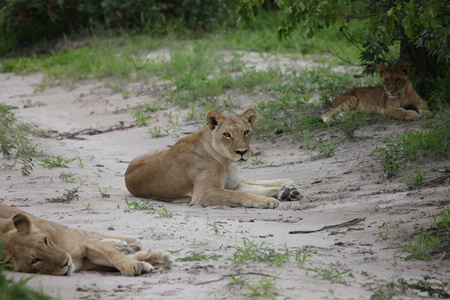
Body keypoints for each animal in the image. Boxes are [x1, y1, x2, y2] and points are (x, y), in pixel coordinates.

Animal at [0, 204, 172, 276]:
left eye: (46, 240)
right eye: (35, 260)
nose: (65, 263)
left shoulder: (85, 245)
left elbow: (114, 256)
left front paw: (135, 265)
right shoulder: (85, 262)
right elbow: (112, 261)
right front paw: (149, 261)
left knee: (87, 233)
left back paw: (129, 242)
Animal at [125, 108, 302, 209]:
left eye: (246, 132)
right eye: (227, 134)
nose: (242, 152)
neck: (226, 162)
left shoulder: (227, 185)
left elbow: (249, 188)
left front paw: (280, 193)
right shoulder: (204, 193)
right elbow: (240, 194)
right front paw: (266, 201)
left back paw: (288, 189)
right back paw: (286, 191)